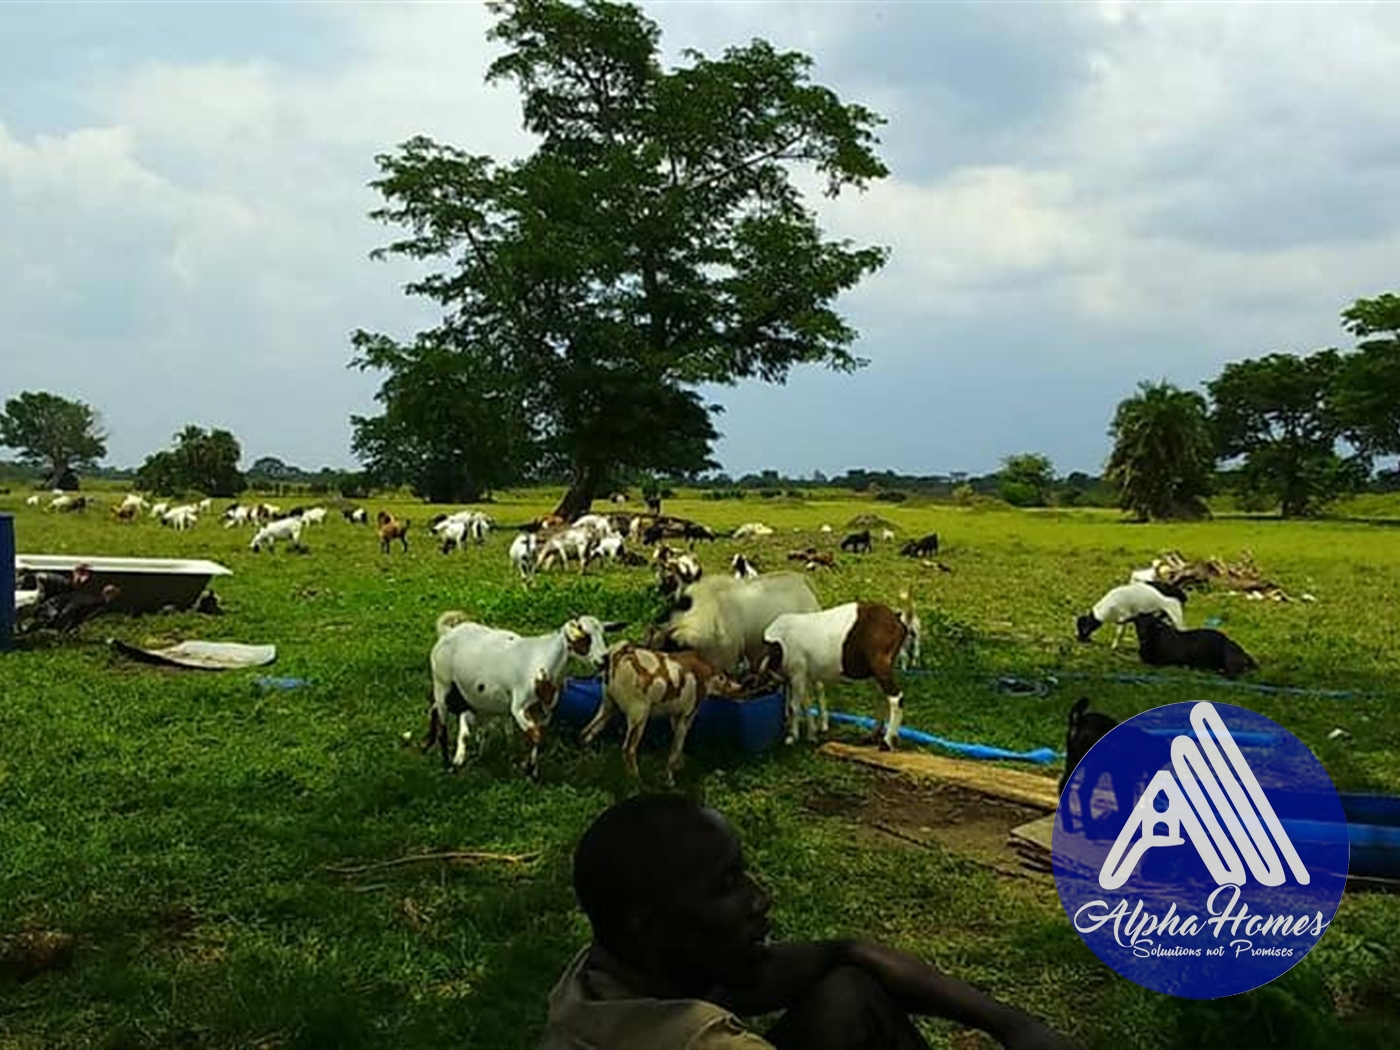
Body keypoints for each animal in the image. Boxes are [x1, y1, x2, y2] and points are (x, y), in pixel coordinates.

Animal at [579, 641, 733, 789]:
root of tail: (617, 654)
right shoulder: (686, 715)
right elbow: (677, 747)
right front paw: (670, 779)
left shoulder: (676, 716)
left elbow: (677, 745)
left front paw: (678, 766)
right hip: (639, 715)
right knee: (628, 750)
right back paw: (638, 783)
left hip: (608, 707)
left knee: (586, 733)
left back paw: (587, 762)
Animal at [767, 599, 907, 750]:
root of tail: (896, 619)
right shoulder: (804, 675)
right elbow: (806, 703)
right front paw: (811, 735)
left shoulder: (797, 672)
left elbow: (794, 706)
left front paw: (792, 737)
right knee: (881, 696)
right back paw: (872, 736)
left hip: (880, 664)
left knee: (896, 698)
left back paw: (886, 742)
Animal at [1125, 613, 1260, 677]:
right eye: (1137, 623)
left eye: (1151, 624)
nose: (1142, 636)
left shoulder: (1163, 662)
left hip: (1229, 659)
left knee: (1233, 675)